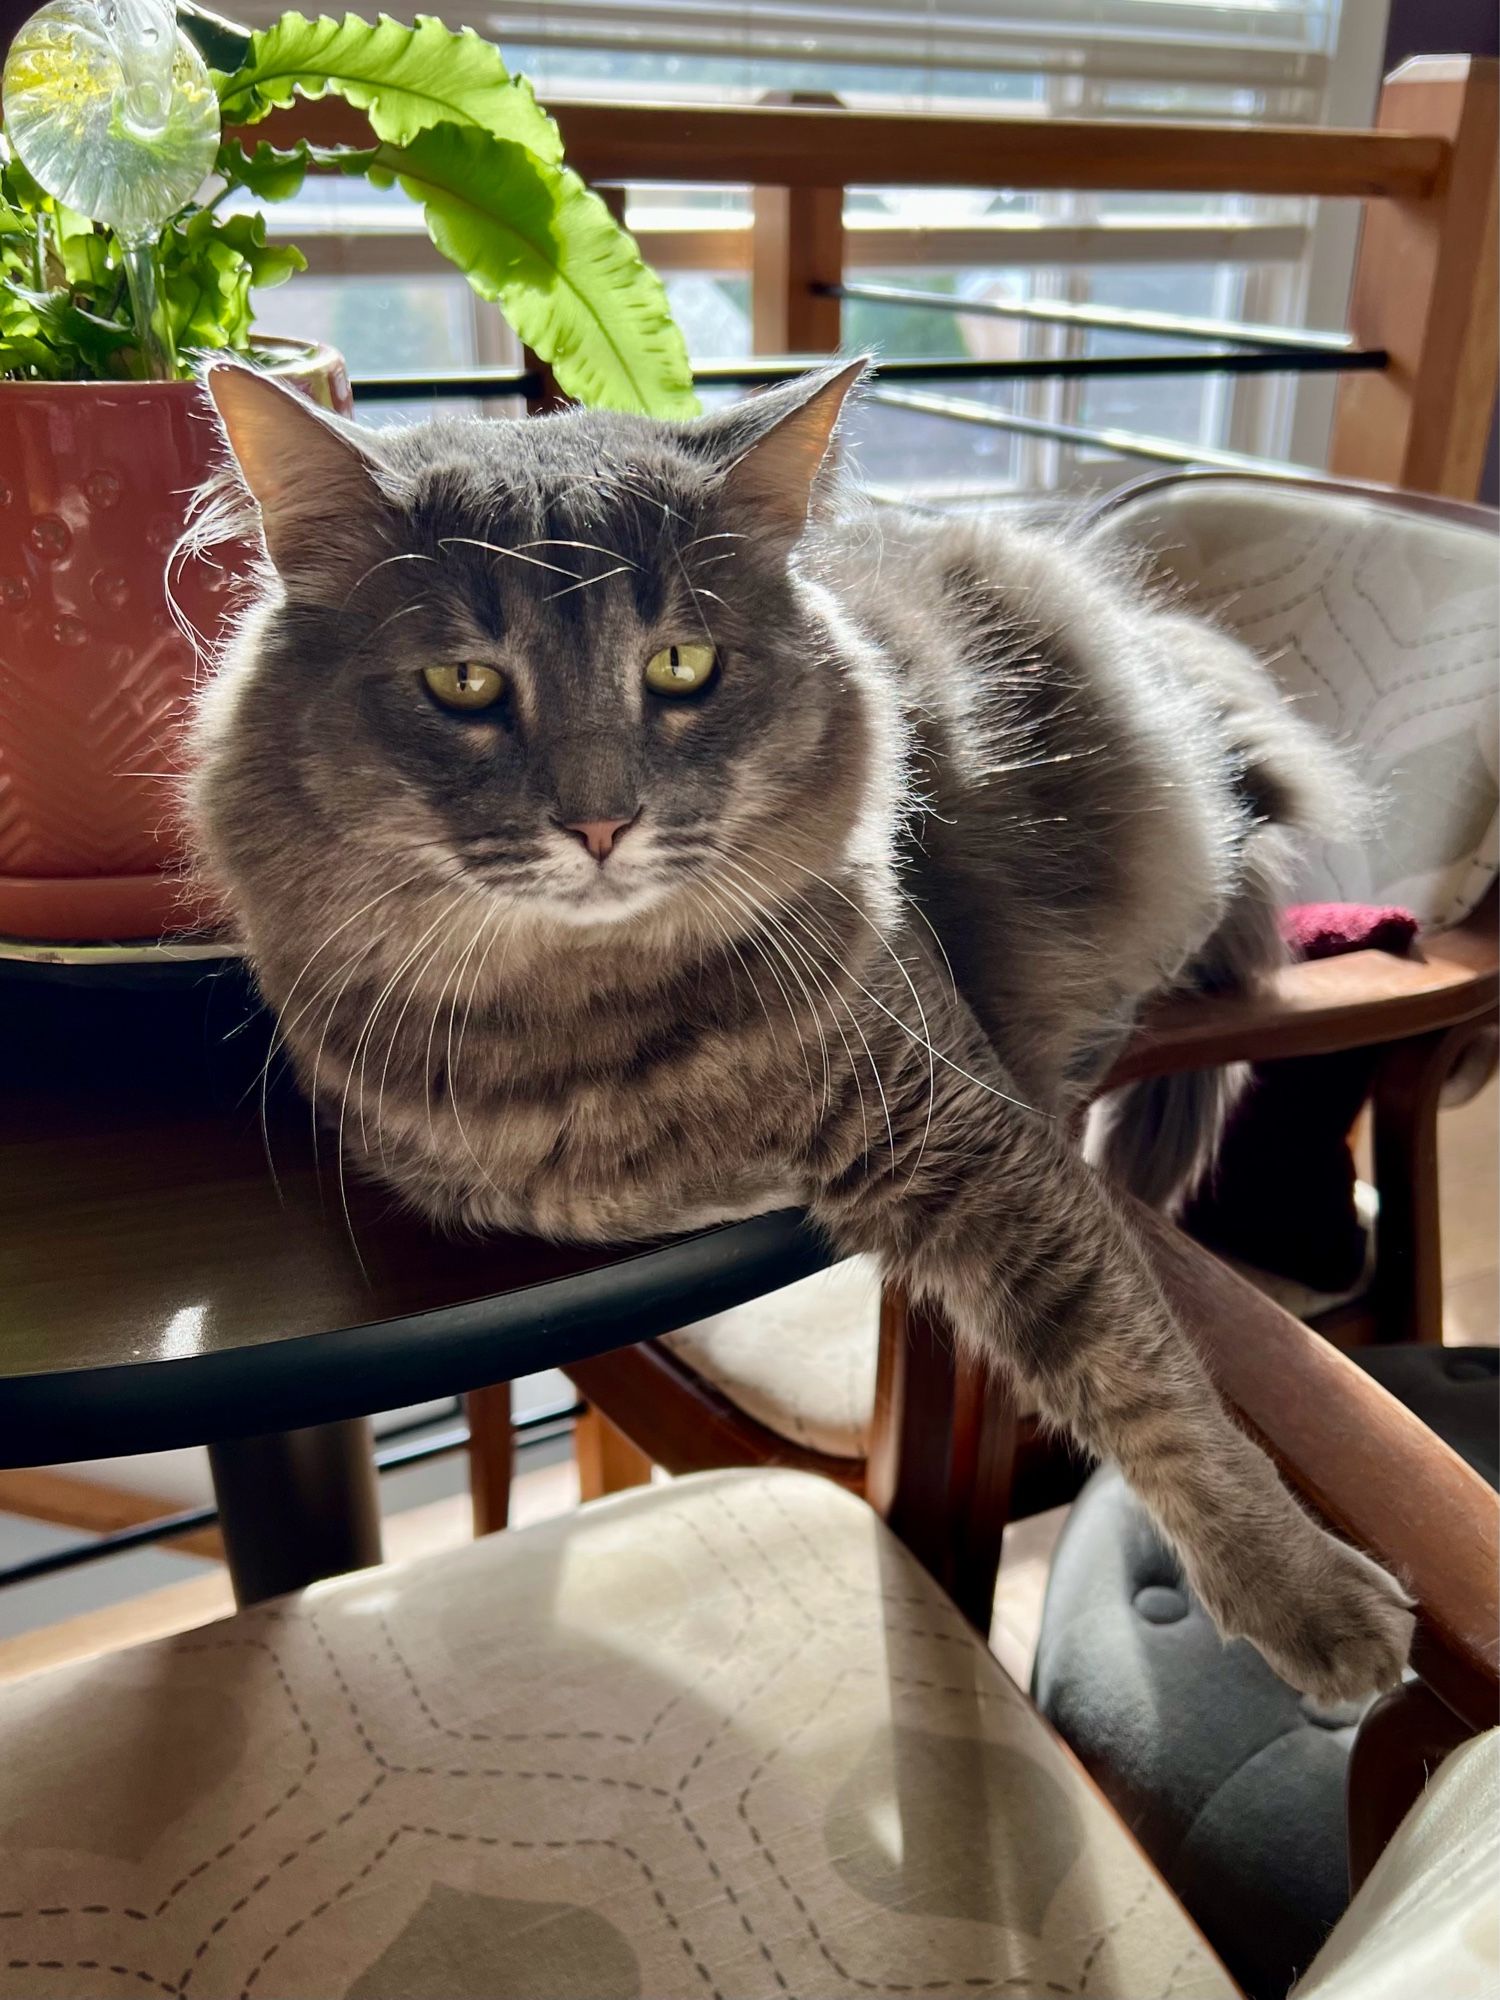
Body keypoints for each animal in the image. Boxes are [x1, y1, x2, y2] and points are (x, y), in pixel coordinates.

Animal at [191, 360, 1424, 1704]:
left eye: (682, 665)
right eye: (465, 685)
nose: (601, 824)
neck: (609, 1017)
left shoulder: (960, 1122)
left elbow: (1146, 1375)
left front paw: (1307, 1588)